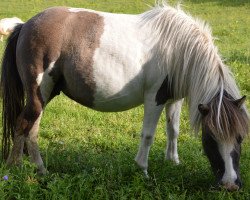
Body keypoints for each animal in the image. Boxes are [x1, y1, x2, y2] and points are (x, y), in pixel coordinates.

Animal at [1, 3, 248, 191]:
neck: (177, 49)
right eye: (210, 138)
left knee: (31, 129)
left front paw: (173, 161)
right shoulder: (154, 98)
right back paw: (18, 168)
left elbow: (173, 130)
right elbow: (148, 135)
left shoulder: (173, 99)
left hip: (46, 93)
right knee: (23, 124)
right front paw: (143, 170)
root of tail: (25, 26)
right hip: (38, 93)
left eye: (240, 138)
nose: (230, 185)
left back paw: (38, 169)